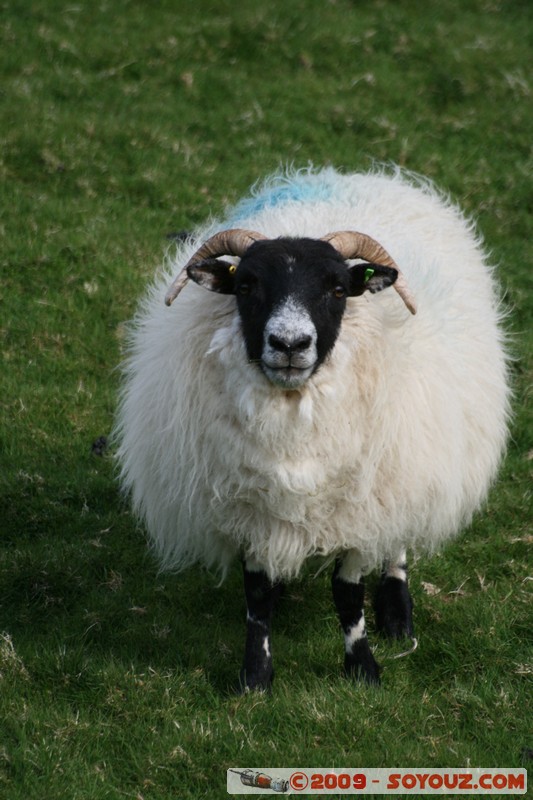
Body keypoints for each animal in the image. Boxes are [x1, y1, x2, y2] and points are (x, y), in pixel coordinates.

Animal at [114, 166, 510, 689]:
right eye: (246, 286)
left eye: (338, 289)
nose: (289, 343)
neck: (293, 416)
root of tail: (358, 174)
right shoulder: (249, 509)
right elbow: (257, 597)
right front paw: (256, 675)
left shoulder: (359, 511)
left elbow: (348, 596)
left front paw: (363, 668)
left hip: (406, 461)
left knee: (397, 540)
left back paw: (397, 612)